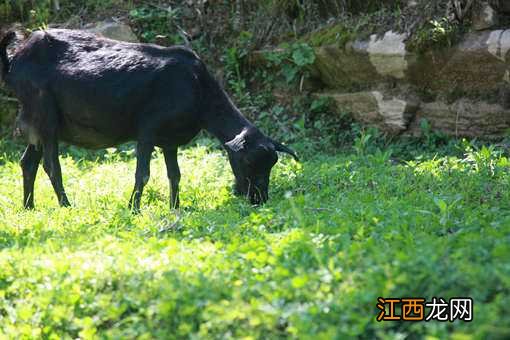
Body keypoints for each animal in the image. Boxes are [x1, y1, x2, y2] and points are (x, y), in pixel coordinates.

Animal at [0, 28, 296, 210]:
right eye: (248, 162)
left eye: (271, 165)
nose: (259, 199)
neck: (197, 88)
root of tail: (14, 60)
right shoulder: (147, 132)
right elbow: (142, 174)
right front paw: (134, 209)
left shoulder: (170, 139)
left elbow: (175, 175)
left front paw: (175, 207)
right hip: (45, 116)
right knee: (51, 165)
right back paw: (66, 206)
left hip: (37, 123)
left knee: (28, 162)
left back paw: (29, 207)